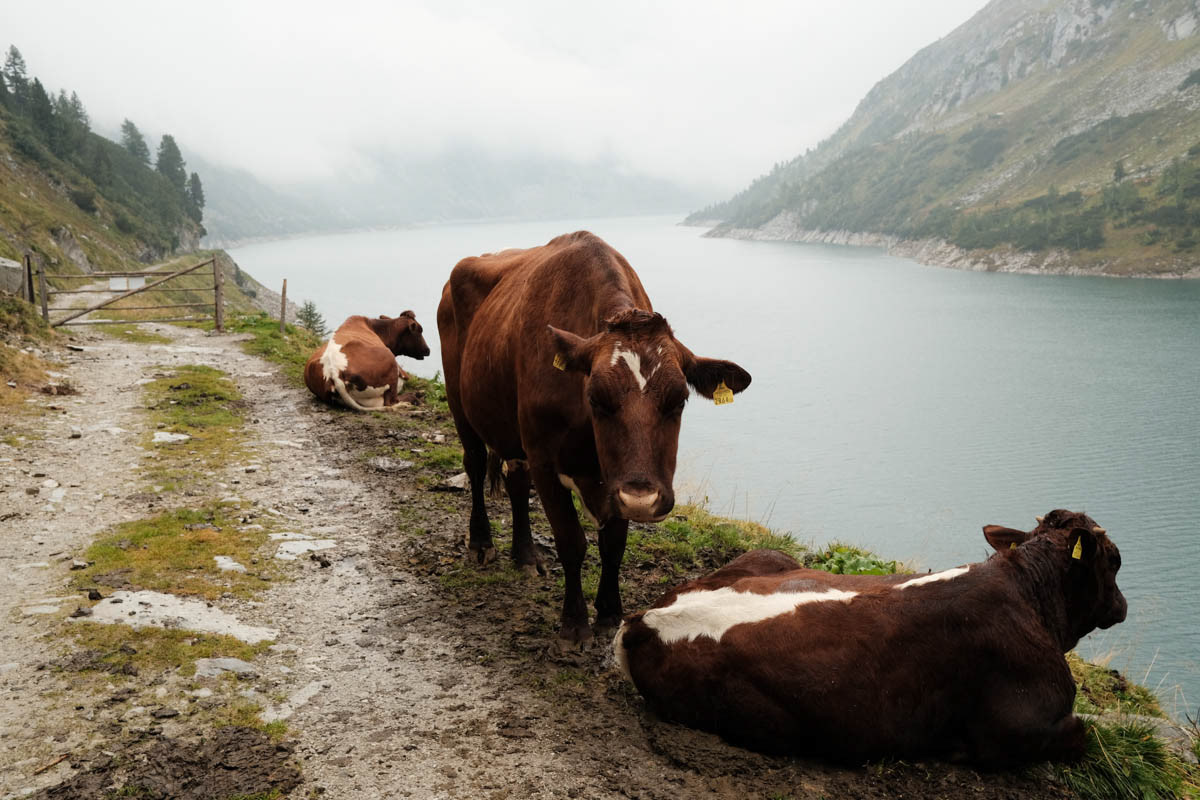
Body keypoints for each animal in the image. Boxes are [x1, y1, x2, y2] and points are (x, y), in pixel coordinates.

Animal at [437, 231, 751, 645]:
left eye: (679, 399)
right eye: (595, 398)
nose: (643, 499)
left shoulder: (615, 481)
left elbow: (613, 544)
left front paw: (609, 612)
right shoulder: (545, 461)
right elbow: (571, 541)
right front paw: (574, 623)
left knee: (515, 480)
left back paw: (525, 556)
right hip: (460, 402)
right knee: (474, 464)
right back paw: (481, 544)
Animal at [614, 509, 1127, 767]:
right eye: (1116, 559)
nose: (1122, 605)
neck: (1027, 590)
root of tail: (646, 617)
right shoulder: (1018, 726)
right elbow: (1081, 734)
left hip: (768, 553)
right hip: (777, 725)